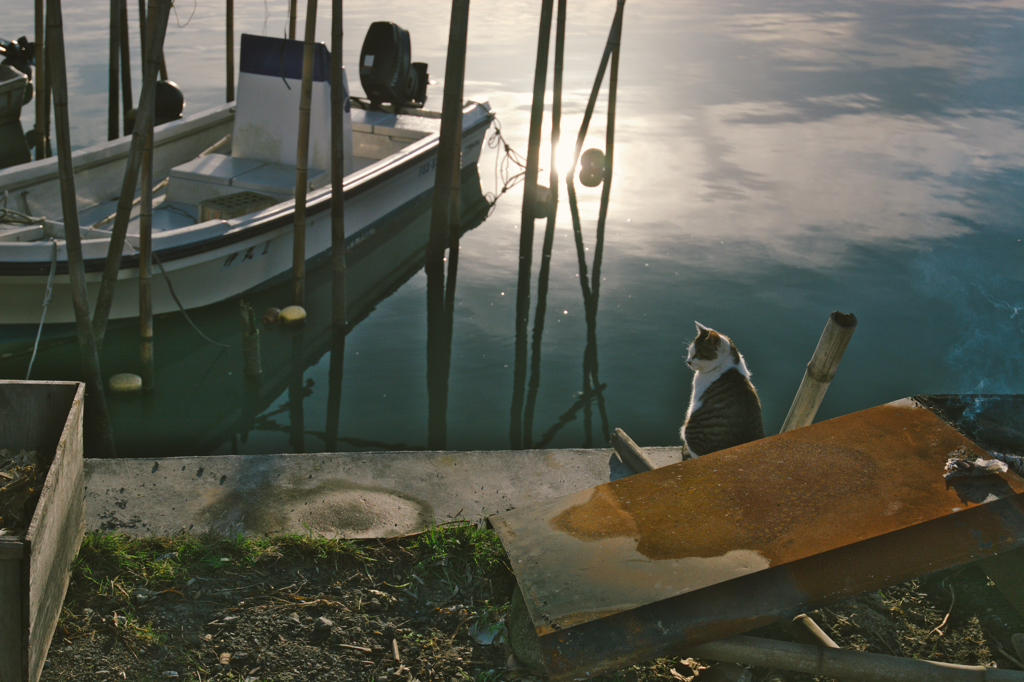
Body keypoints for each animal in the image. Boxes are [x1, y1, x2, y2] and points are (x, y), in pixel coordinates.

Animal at [679, 319, 761, 456]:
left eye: (697, 355)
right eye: (690, 353)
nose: (688, 361)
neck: (727, 365)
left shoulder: (695, 399)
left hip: (690, 430)